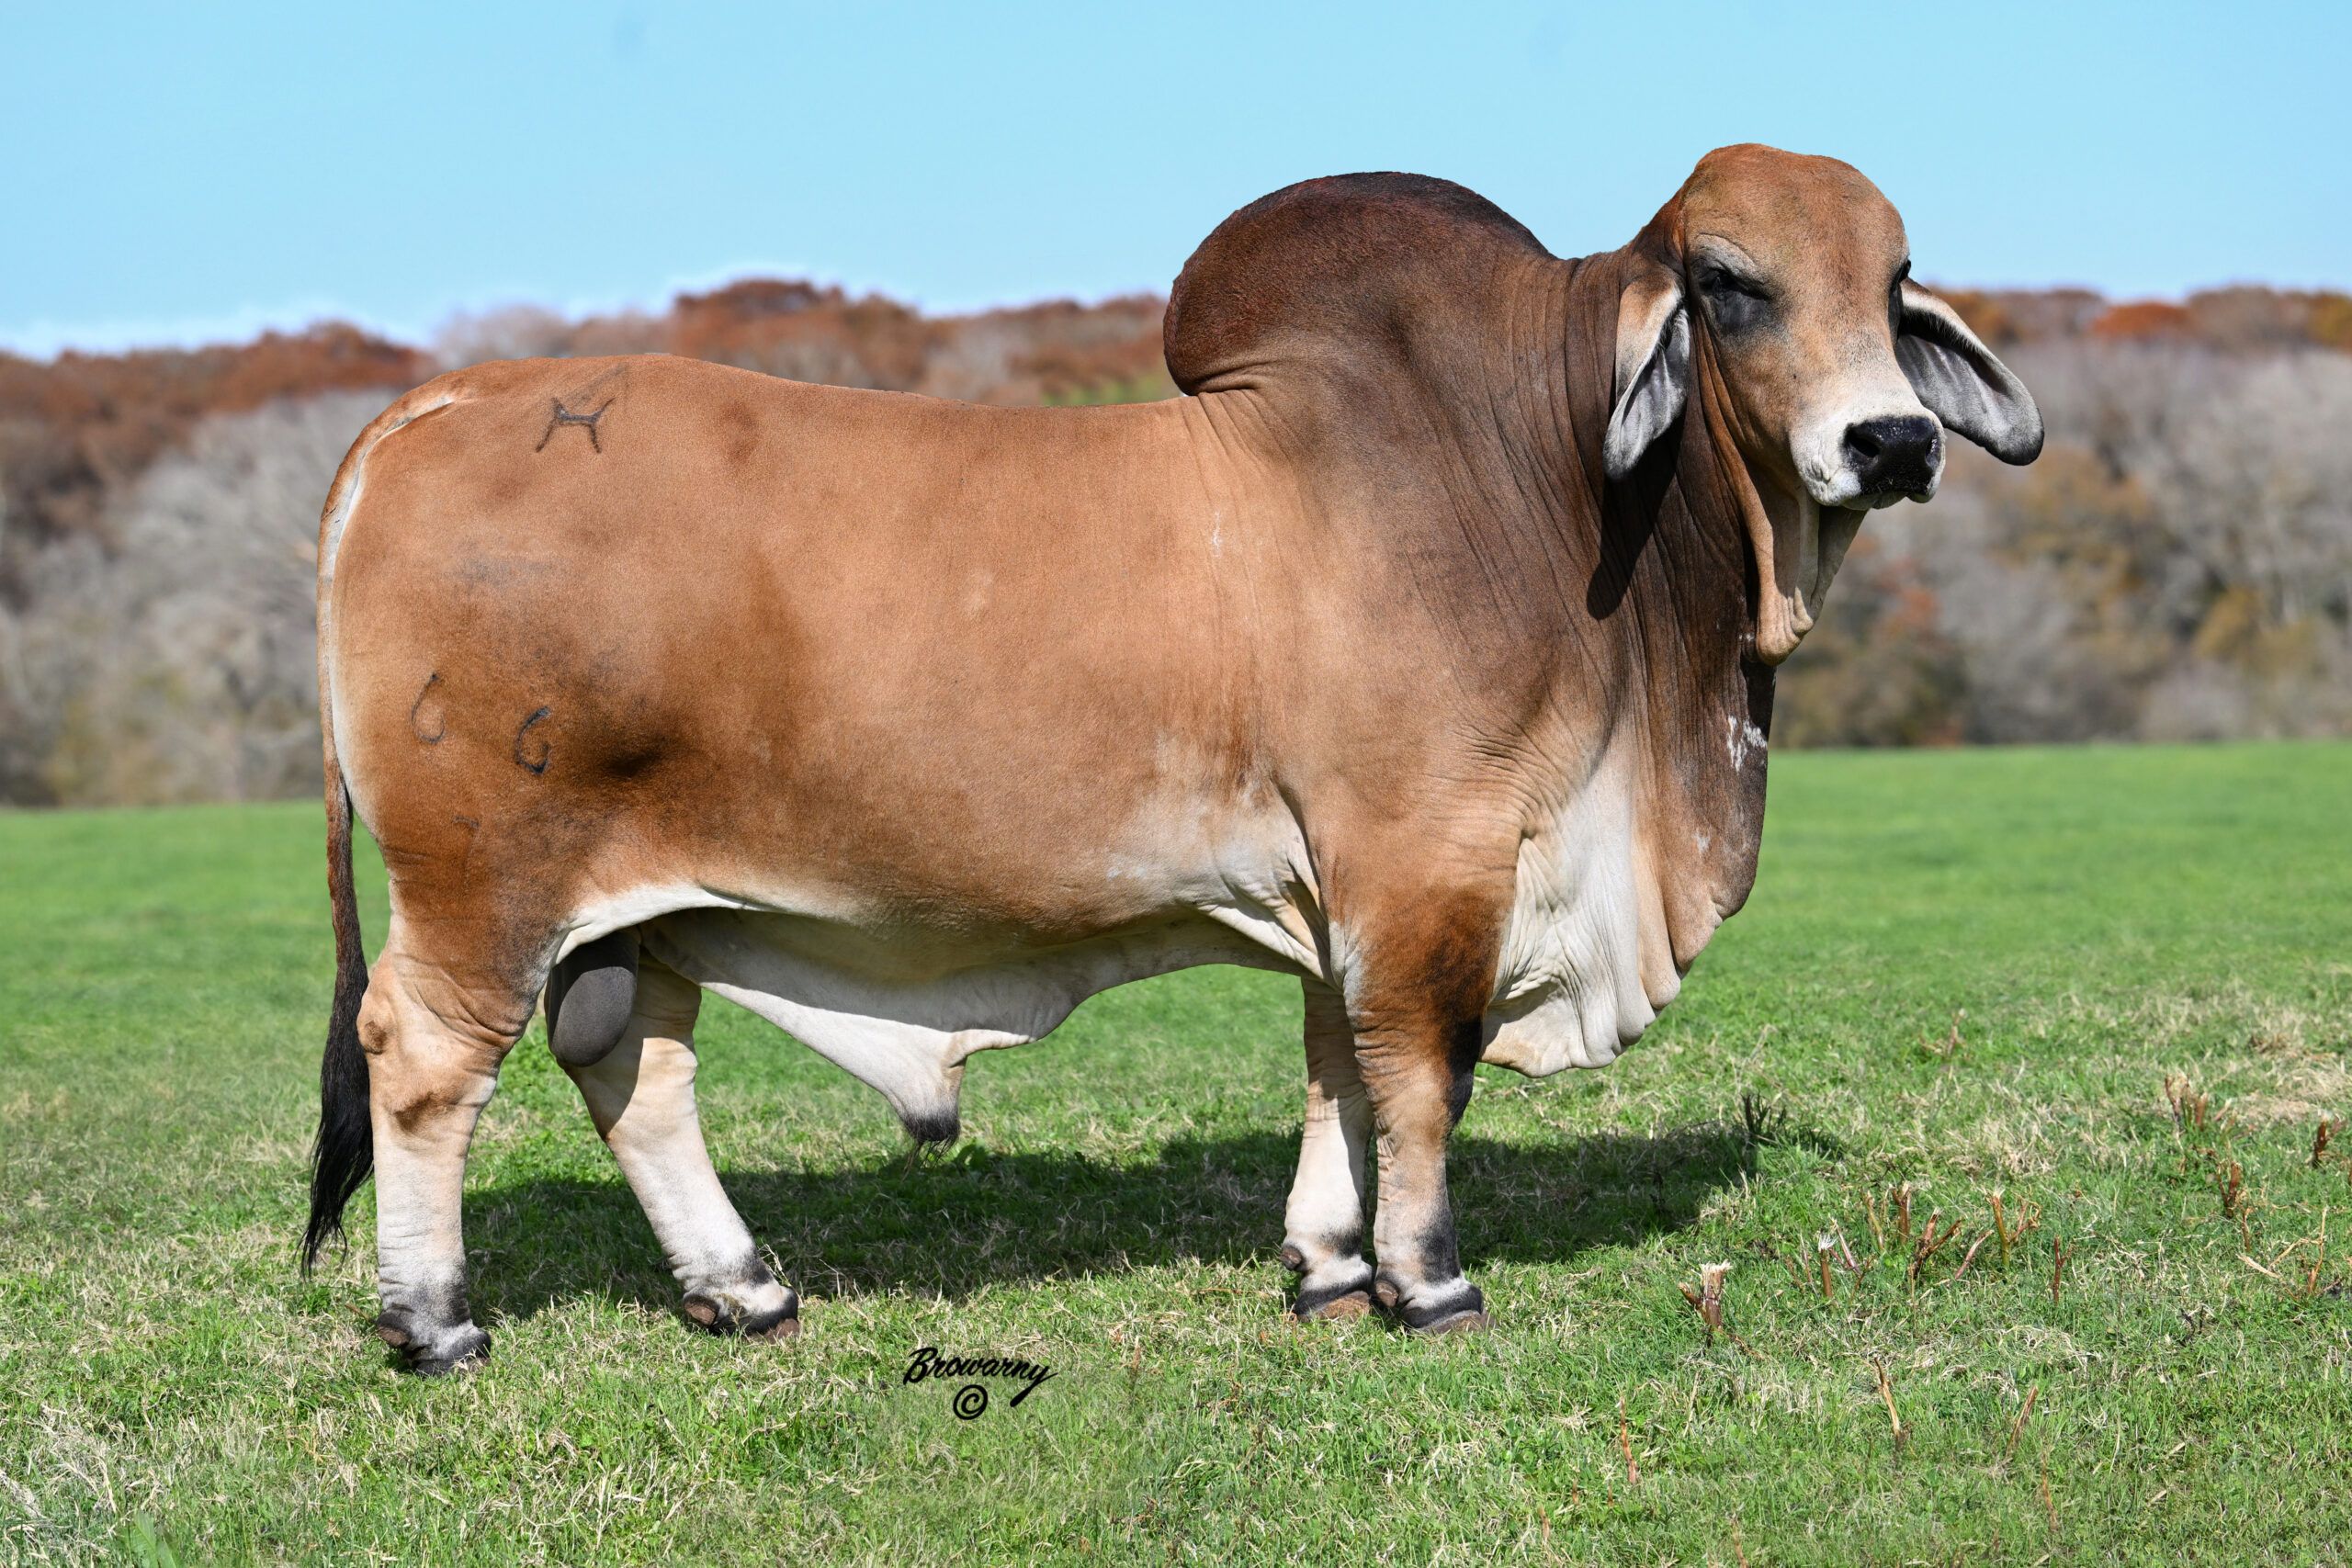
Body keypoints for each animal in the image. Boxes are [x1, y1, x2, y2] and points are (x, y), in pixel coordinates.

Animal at [303, 144, 2041, 1372]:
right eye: (1731, 282)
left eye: (1896, 279)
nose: (1894, 440)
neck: (1543, 482)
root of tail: (433, 404)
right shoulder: (1431, 857)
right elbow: (1421, 1071)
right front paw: (1429, 1279)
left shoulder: (1353, 882)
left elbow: (1339, 1063)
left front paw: (1329, 1267)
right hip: (484, 882)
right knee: (426, 1057)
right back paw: (436, 1320)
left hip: (646, 904)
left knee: (632, 1067)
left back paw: (745, 1288)